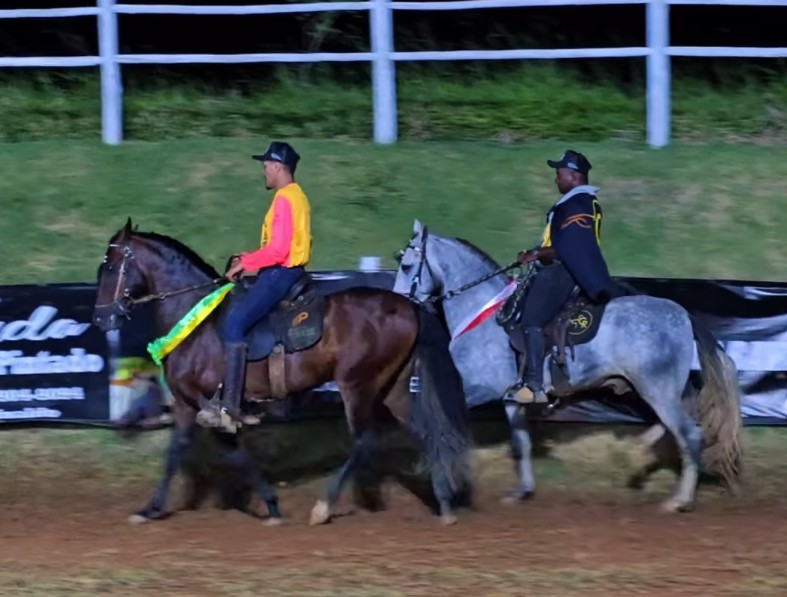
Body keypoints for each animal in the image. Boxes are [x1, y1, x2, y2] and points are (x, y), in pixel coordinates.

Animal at [92, 217, 474, 524]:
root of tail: (407, 306)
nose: (100, 319)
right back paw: (444, 503)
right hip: (392, 386)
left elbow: (219, 449)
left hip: (358, 383)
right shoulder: (190, 405)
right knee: (424, 433)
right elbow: (183, 453)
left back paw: (323, 508)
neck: (196, 320)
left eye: (110, 267)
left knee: (365, 439)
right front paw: (152, 509)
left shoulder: (208, 403)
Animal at [394, 220, 744, 512]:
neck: (484, 315)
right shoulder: (511, 398)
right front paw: (522, 491)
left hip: (657, 390)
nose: (400, 303)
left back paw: (679, 500)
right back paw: (645, 455)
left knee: (690, 434)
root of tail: (683, 315)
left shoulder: (474, 388)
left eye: (408, 264)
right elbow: (520, 443)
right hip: (665, 390)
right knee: (679, 428)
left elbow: (434, 422)